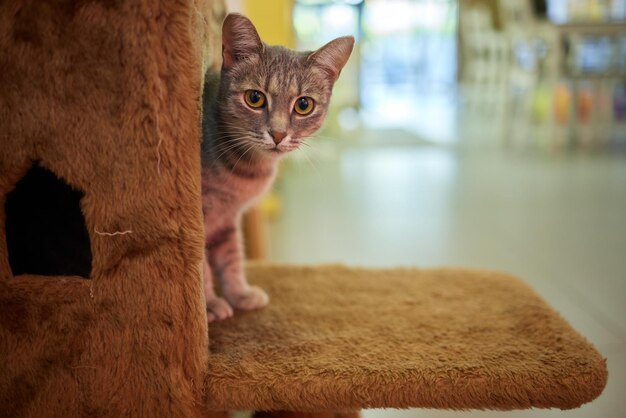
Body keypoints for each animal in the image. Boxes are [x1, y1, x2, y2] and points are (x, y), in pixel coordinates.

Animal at [200, 12, 352, 320]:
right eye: (254, 98)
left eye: (304, 104)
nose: (278, 134)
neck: (246, 170)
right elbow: (204, 267)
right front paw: (209, 304)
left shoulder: (227, 220)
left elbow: (232, 257)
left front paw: (240, 293)